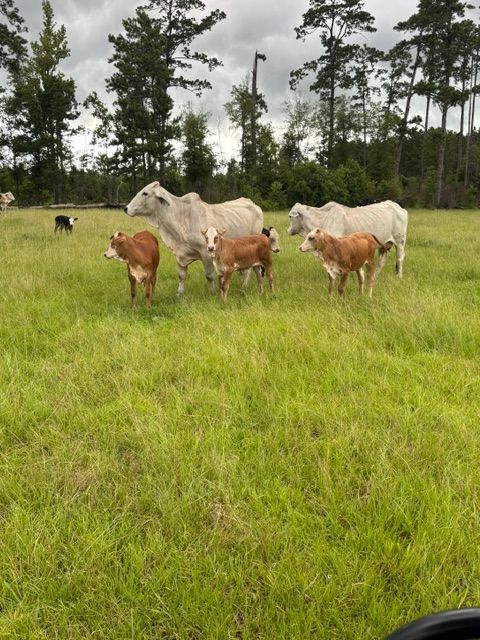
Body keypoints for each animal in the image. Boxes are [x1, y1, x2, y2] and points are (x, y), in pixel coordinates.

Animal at [124, 182, 263, 296]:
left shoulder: (206, 253)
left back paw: (246, 287)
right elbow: (181, 276)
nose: (126, 208)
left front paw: (212, 293)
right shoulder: (180, 254)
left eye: (145, 193)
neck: (181, 217)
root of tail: (254, 204)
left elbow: (209, 276)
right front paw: (180, 294)